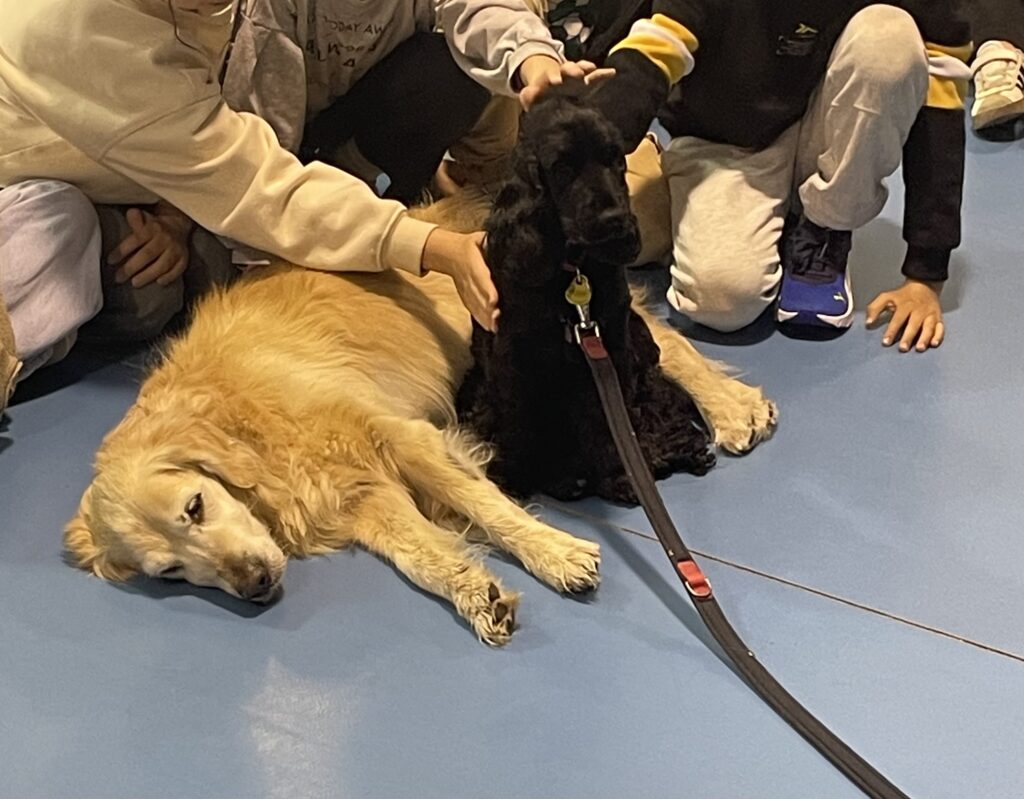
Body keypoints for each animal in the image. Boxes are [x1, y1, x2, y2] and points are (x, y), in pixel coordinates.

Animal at [457, 86, 771, 503]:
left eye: (614, 161)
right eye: (562, 168)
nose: (613, 220)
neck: (572, 270)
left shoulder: (610, 346)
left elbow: (606, 418)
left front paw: (620, 474)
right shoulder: (514, 350)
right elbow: (518, 417)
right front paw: (518, 473)